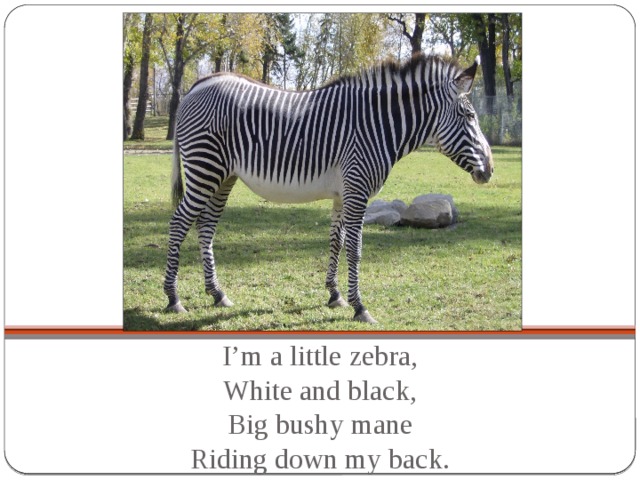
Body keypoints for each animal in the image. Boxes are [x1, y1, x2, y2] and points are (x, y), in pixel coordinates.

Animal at [164, 54, 493, 325]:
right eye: (469, 116)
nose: (490, 170)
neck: (377, 126)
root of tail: (197, 85)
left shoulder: (343, 194)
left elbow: (337, 241)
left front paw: (335, 296)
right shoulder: (357, 190)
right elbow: (356, 249)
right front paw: (360, 307)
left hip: (223, 176)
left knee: (206, 227)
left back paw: (217, 293)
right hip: (204, 168)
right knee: (179, 222)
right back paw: (173, 298)